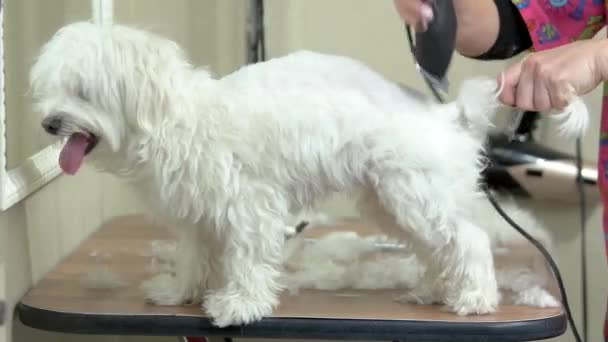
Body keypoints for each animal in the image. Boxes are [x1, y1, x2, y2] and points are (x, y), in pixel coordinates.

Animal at [28, 22, 584, 328]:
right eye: (51, 89)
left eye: (82, 91)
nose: (49, 123)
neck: (174, 120)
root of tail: (444, 115)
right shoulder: (197, 216)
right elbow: (195, 257)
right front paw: (180, 292)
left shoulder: (248, 207)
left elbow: (246, 261)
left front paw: (238, 305)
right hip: (389, 199)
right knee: (437, 249)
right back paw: (434, 290)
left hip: (416, 193)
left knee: (468, 240)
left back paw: (474, 298)